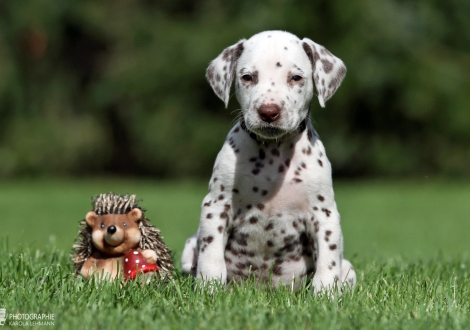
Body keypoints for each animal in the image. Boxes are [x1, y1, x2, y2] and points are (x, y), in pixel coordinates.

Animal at [181, 31, 356, 292]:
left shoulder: (324, 213)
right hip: (189, 245)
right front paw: (209, 289)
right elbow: (211, 254)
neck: (273, 153)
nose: (268, 111)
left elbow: (328, 258)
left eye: (296, 77)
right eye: (247, 77)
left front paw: (325, 294)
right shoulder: (216, 205)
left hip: (349, 270)